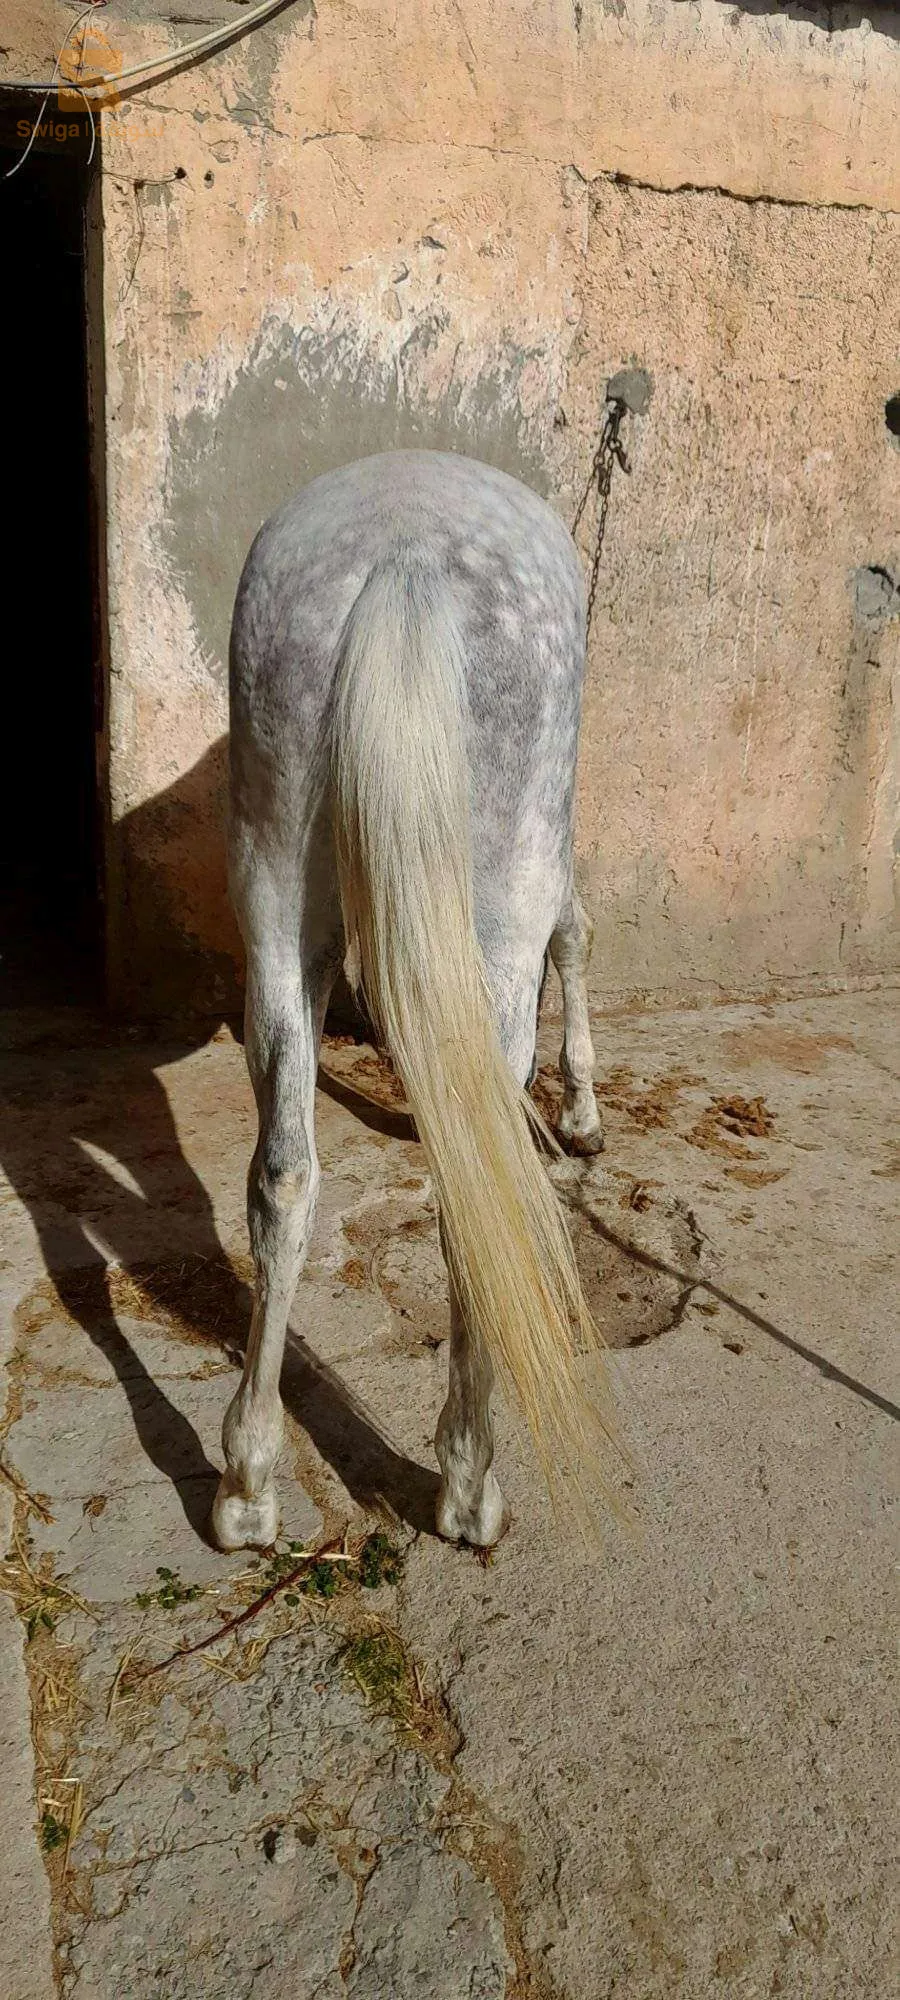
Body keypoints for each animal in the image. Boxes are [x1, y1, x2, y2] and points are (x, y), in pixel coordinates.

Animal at [210, 448, 621, 1555]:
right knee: (477, 1166)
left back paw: (246, 1482)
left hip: (273, 889)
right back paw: (470, 1483)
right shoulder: (554, 873)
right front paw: (583, 1112)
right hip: (503, 901)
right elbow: (578, 936)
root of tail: (404, 555)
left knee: (283, 1176)